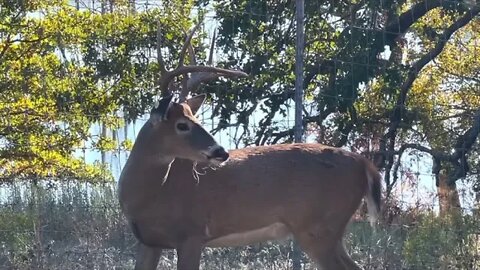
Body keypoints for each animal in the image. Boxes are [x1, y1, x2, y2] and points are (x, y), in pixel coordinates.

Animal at [120, 23, 382, 270]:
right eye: (182, 125)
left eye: (194, 120)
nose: (221, 152)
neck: (147, 197)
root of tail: (364, 164)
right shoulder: (148, 241)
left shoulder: (192, 234)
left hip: (319, 228)